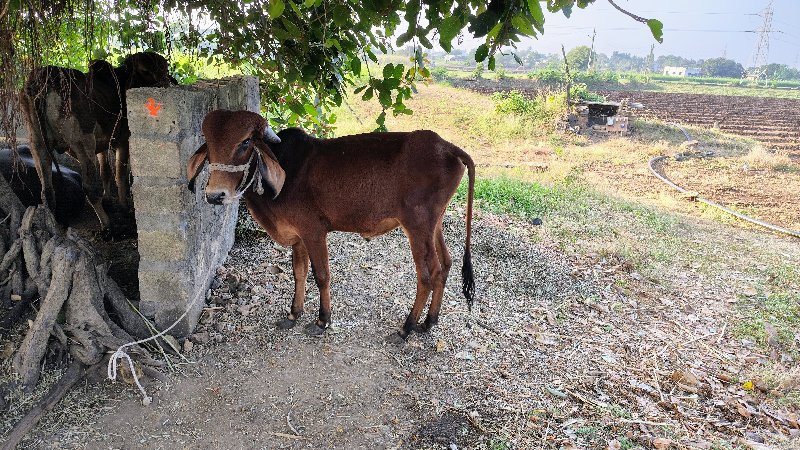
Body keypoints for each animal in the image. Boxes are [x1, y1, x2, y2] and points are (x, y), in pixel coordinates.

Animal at [19, 51, 175, 230]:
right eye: (145, 70)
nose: (164, 82)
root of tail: (42, 80)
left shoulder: (102, 145)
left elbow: (105, 172)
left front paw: (108, 200)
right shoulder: (123, 141)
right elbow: (120, 174)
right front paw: (124, 206)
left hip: (37, 144)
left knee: (47, 191)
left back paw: (54, 225)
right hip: (82, 140)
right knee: (89, 187)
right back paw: (107, 224)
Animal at [188, 110, 476, 338]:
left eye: (245, 142)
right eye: (209, 143)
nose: (215, 195)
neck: (285, 171)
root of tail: (447, 147)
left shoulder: (313, 231)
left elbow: (322, 275)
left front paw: (322, 320)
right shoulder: (298, 236)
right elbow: (299, 272)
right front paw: (294, 314)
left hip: (417, 226)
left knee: (428, 274)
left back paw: (407, 327)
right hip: (433, 224)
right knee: (446, 264)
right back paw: (429, 321)